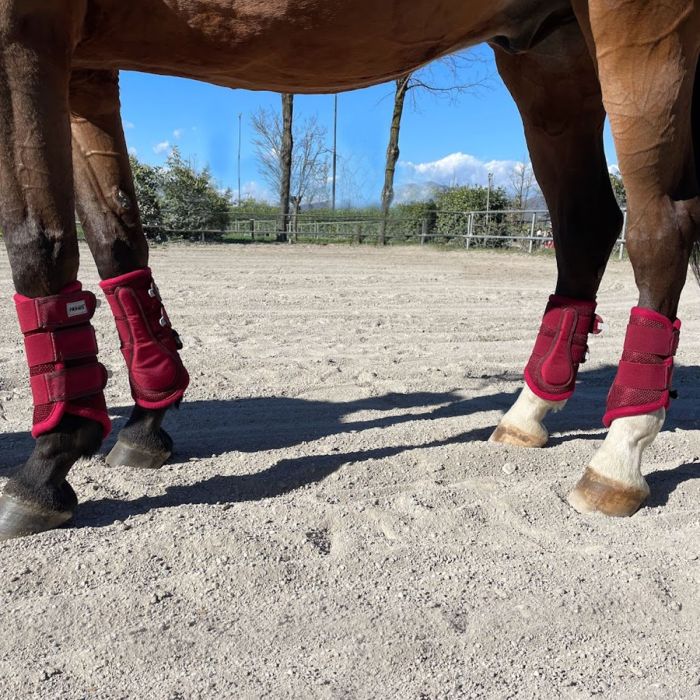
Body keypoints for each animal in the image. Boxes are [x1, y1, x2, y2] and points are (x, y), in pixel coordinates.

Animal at [0, 0, 698, 539]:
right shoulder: (87, 63)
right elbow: (116, 240)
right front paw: (145, 421)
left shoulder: (26, 28)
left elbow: (37, 241)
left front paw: (46, 464)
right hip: (548, 53)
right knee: (585, 224)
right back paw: (528, 414)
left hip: (637, 30)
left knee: (660, 229)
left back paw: (619, 459)